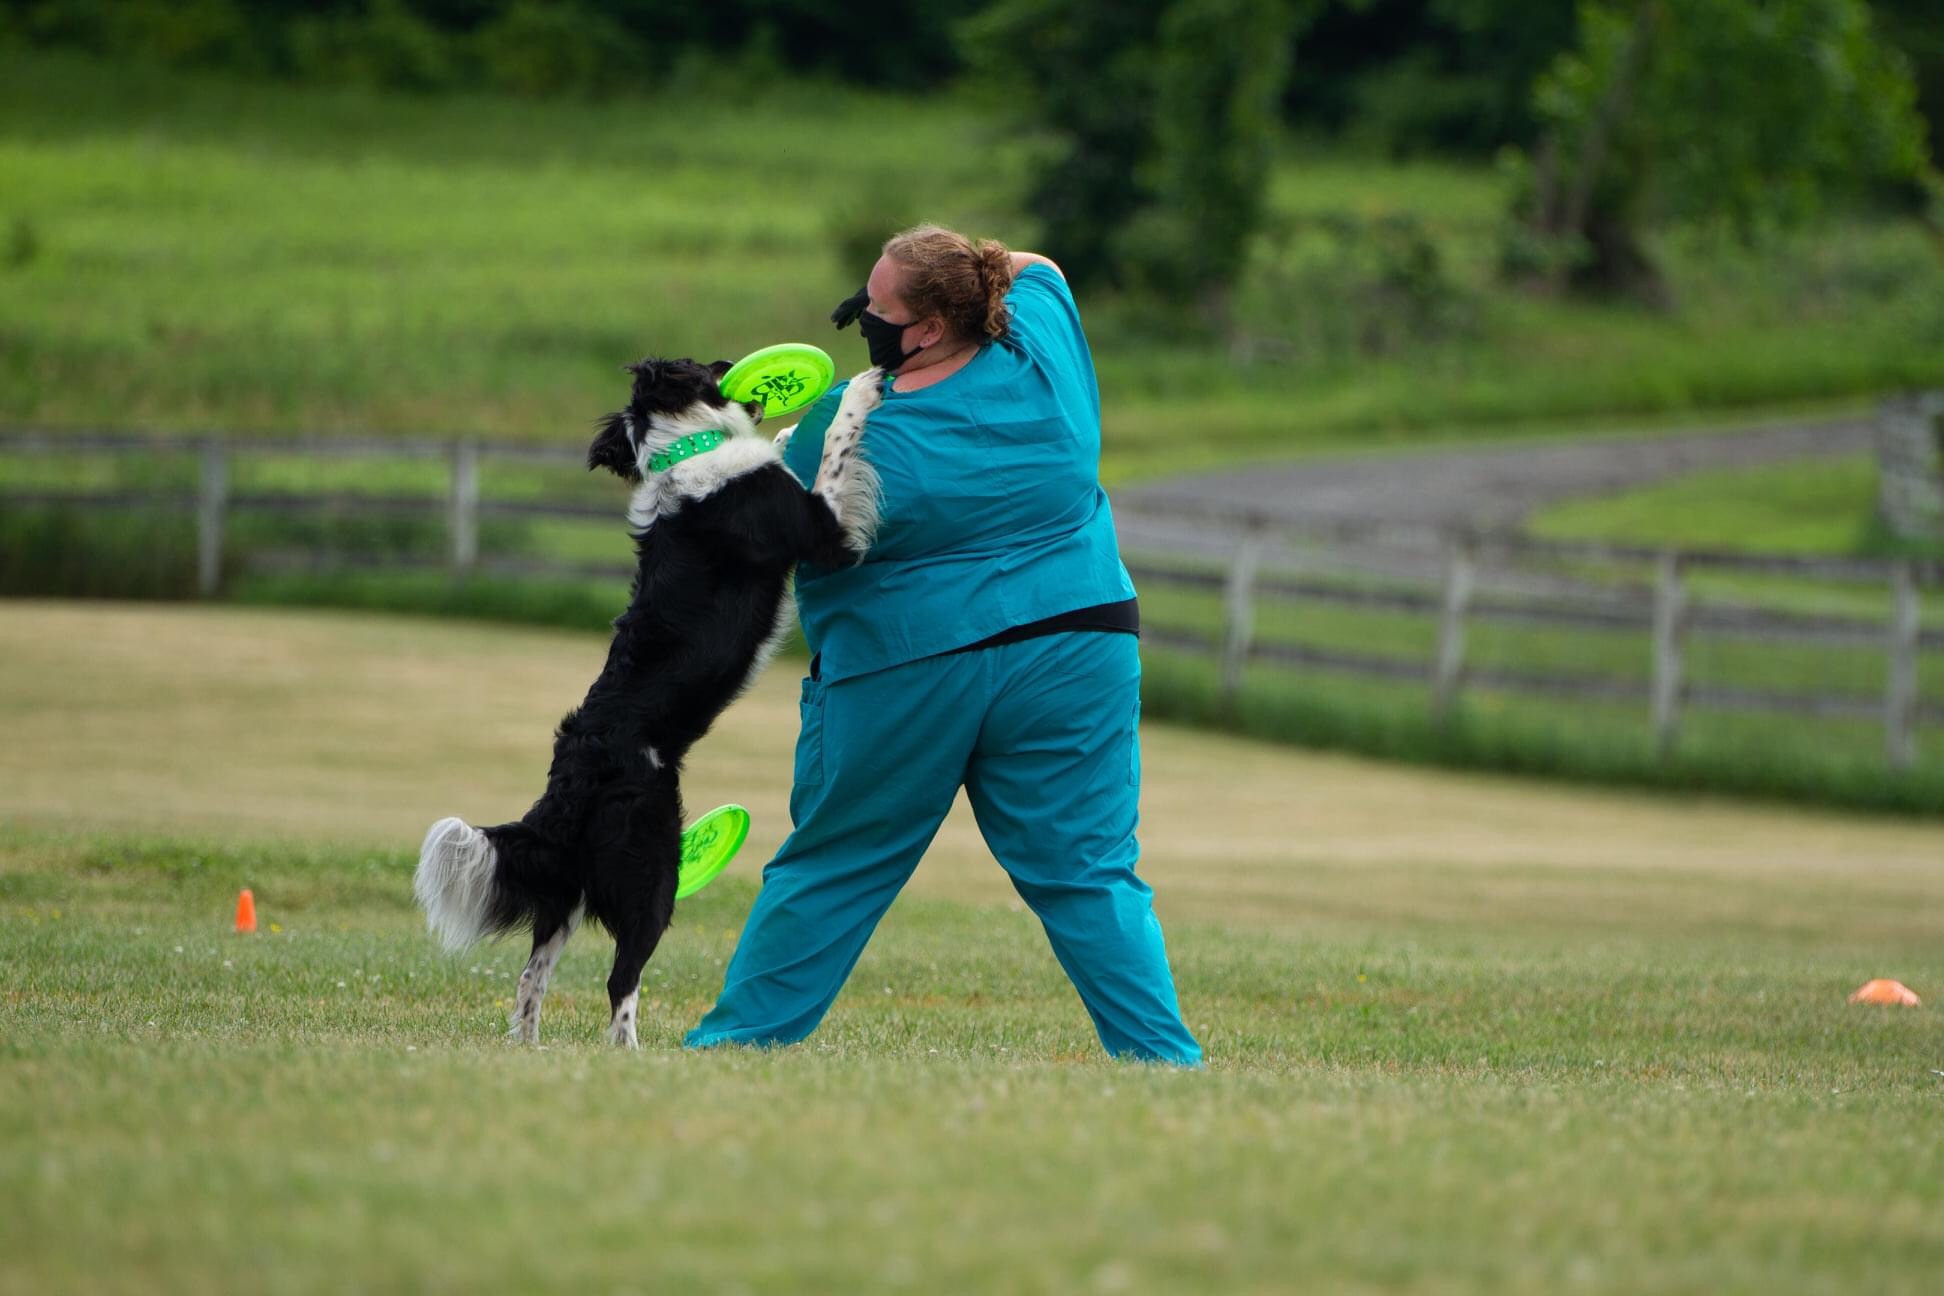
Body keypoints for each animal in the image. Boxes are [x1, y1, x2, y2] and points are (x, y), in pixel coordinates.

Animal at [414, 357, 881, 1047]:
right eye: (704, 365)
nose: (730, 366)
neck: (686, 447)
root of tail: (568, 782)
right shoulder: (822, 530)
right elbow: (835, 444)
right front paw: (862, 387)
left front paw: (784, 425)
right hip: (652, 870)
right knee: (620, 979)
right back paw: (631, 1053)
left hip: (569, 890)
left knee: (530, 977)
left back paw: (530, 1049)